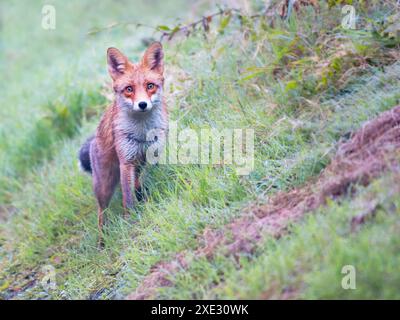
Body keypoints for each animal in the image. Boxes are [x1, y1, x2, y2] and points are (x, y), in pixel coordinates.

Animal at [79, 42, 168, 245]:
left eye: (150, 86)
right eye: (129, 89)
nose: (142, 104)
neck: (142, 132)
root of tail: (93, 139)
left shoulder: (151, 156)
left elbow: (139, 184)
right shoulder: (126, 162)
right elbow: (128, 199)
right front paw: (132, 220)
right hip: (104, 186)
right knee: (101, 213)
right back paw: (102, 241)